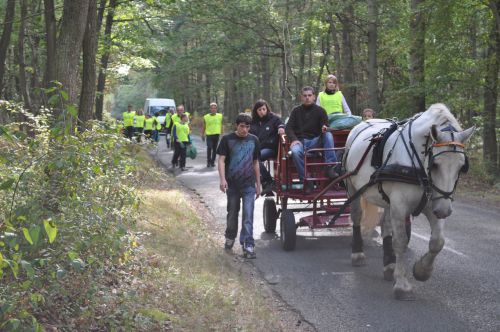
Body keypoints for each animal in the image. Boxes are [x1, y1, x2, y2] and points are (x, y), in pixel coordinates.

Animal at [342, 104, 474, 300]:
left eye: (462, 166)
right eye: (435, 165)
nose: (444, 211)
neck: (418, 164)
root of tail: (363, 123)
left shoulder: (434, 202)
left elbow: (438, 242)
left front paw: (422, 270)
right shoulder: (401, 205)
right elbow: (401, 242)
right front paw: (402, 284)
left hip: (388, 199)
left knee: (386, 225)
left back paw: (389, 264)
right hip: (352, 186)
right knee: (357, 216)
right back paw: (358, 254)